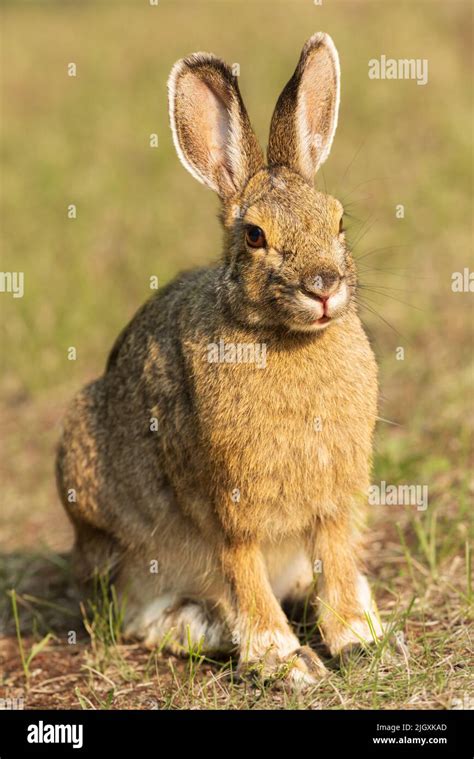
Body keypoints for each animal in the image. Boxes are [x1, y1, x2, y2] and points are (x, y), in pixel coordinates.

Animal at [57, 31, 386, 688]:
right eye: (255, 236)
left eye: (339, 220)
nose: (324, 287)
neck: (285, 338)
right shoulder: (226, 506)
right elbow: (241, 569)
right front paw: (285, 661)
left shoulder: (334, 501)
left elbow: (335, 553)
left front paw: (357, 639)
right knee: (143, 618)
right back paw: (210, 627)